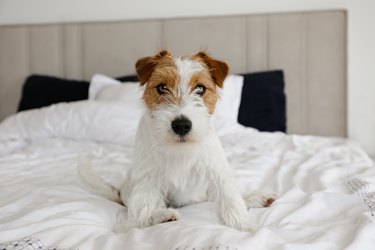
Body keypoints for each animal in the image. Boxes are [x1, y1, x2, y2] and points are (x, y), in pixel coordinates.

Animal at [78, 50, 276, 232]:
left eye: (200, 89)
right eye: (162, 87)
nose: (181, 125)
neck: (180, 149)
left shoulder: (217, 170)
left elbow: (231, 199)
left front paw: (244, 227)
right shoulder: (147, 178)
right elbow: (140, 215)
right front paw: (137, 223)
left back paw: (256, 198)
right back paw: (164, 215)